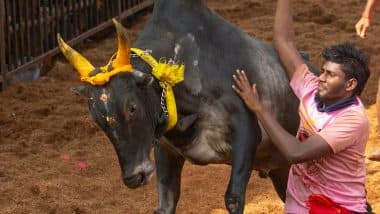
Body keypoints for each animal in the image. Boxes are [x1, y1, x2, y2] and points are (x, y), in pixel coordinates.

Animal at [59, 0, 302, 214]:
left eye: (132, 107)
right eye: (97, 119)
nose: (133, 177)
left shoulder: (247, 130)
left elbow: (233, 199)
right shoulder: (165, 150)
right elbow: (165, 204)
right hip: (281, 171)